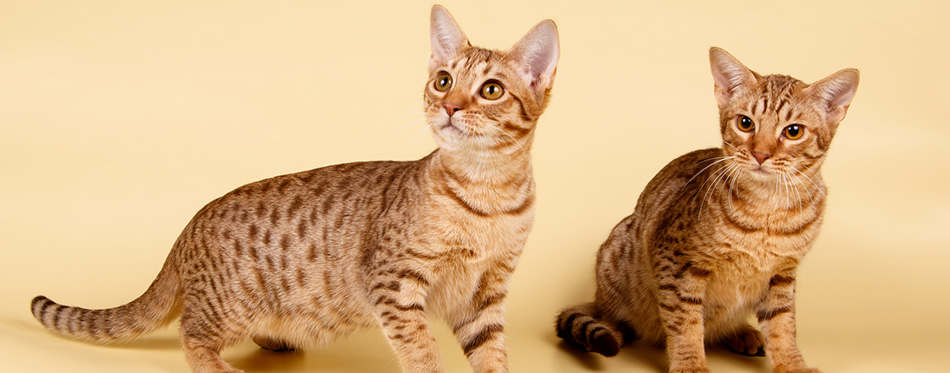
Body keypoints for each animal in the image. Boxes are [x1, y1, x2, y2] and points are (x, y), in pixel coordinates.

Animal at [33, 5, 560, 372]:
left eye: (491, 90)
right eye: (443, 81)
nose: (449, 106)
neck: (488, 196)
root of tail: (187, 230)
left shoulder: (486, 294)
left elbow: (491, 354)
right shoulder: (392, 283)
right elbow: (422, 350)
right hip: (233, 304)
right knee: (190, 333)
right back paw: (219, 366)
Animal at [556, 47, 864, 372]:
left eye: (793, 131)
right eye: (745, 123)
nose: (760, 154)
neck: (767, 211)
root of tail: (598, 297)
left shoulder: (782, 274)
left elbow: (783, 325)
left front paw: (792, 363)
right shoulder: (676, 262)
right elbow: (685, 320)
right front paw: (690, 363)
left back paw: (741, 333)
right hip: (616, 257)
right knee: (613, 319)